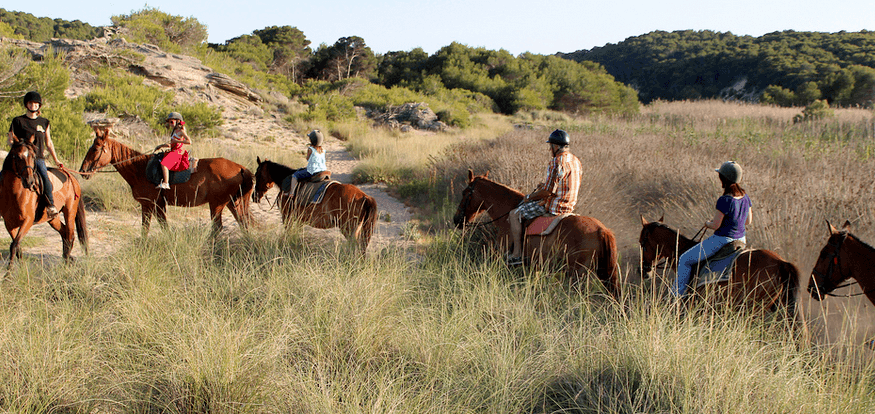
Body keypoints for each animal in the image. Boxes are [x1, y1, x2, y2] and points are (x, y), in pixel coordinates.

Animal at [78, 128, 254, 235]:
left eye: (95, 149)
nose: (83, 170)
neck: (140, 169)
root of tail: (240, 167)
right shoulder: (147, 205)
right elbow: (145, 229)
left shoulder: (157, 205)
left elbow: (163, 228)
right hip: (234, 203)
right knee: (243, 224)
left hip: (217, 204)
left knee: (218, 228)